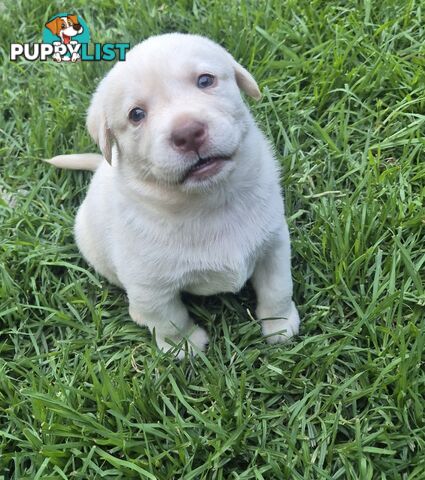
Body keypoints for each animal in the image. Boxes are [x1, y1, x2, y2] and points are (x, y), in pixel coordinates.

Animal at [48, 32, 300, 356]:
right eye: (136, 114)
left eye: (205, 80)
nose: (188, 133)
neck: (208, 202)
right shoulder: (149, 288)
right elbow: (168, 319)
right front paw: (186, 346)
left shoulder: (274, 244)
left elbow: (277, 289)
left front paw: (279, 327)